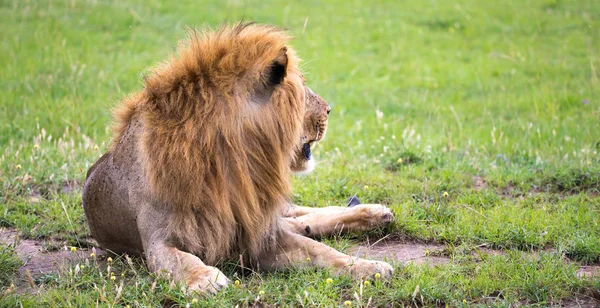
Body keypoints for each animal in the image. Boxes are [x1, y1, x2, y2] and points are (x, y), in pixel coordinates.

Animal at [83, 23, 394, 294]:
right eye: (303, 89)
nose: (329, 109)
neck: (233, 161)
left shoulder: (258, 230)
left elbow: (322, 251)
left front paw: (369, 267)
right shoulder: (157, 239)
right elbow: (179, 259)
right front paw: (205, 279)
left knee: (304, 216)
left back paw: (374, 212)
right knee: (301, 222)